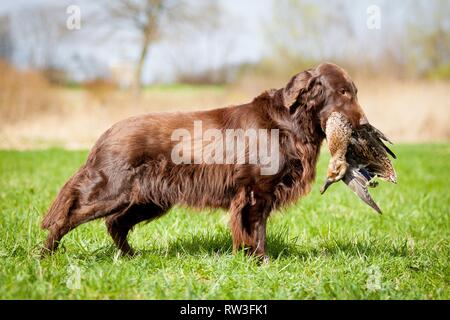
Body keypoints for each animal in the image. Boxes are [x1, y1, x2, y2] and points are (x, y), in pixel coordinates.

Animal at [40, 62, 368, 260]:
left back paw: (132, 257)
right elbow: (257, 230)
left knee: (115, 223)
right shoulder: (257, 191)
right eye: (342, 92)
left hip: (148, 199)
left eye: (354, 91)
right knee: (65, 218)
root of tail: (105, 135)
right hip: (112, 192)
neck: (288, 122)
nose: (364, 124)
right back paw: (45, 256)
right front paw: (261, 261)